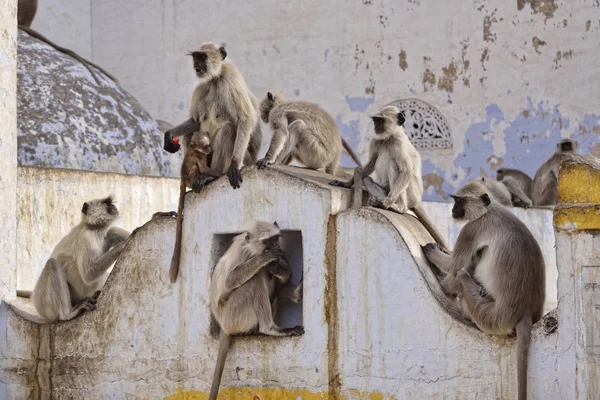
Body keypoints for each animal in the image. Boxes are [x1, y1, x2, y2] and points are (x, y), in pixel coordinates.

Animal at [162, 43, 262, 190]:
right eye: (195, 57)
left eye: (202, 57)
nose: (196, 64)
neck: (215, 79)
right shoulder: (201, 87)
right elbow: (195, 122)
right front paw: (169, 135)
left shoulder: (231, 80)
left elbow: (245, 119)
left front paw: (234, 165)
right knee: (190, 133)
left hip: (244, 158)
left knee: (227, 130)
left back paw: (214, 175)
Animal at [169, 130, 220, 282]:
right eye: (205, 146)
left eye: (209, 144)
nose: (209, 149)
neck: (195, 149)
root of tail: (183, 179)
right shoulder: (199, 155)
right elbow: (203, 168)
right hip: (191, 178)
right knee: (195, 168)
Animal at [211, 222, 304, 400]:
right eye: (267, 242)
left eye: (275, 238)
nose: (275, 246)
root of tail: (223, 325)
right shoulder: (242, 251)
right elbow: (229, 281)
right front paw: (265, 258)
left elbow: (280, 271)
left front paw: (283, 269)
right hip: (234, 314)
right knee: (255, 278)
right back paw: (271, 329)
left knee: (268, 276)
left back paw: (296, 294)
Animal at [330, 105, 448, 250]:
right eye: (375, 120)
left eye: (381, 121)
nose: (376, 127)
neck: (388, 138)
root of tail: (417, 200)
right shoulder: (376, 140)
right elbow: (369, 165)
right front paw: (346, 183)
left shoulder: (399, 143)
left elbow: (406, 172)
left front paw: (387, 203)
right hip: (385, 189)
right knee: (367, 179)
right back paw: (378, 201)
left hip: (408, 194)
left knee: (394, 166)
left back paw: (398, 207)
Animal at [420, 181, 548, 400]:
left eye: (460, 201)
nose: (453, 209)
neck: (488, 211)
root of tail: (525, 312)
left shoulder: (473, 228)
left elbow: (454, 264)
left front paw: (431, 252)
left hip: (489, 316)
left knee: (462, 275)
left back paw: (450, 286)